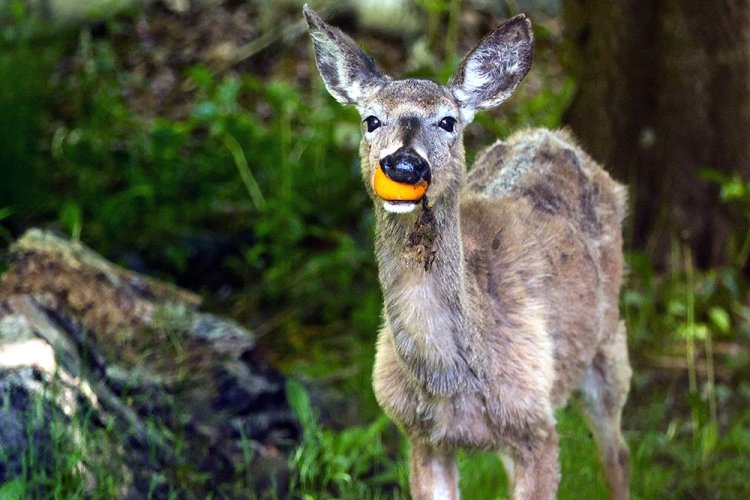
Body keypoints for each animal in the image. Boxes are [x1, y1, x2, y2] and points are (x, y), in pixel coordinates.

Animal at [306, 4, 636, 500]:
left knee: (617, 452)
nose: (404, 165)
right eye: (370, 120)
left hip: (607, 342)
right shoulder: (421, 436)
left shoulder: (538, 426)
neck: (448, 381)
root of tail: (552, 135)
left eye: (449, 121)